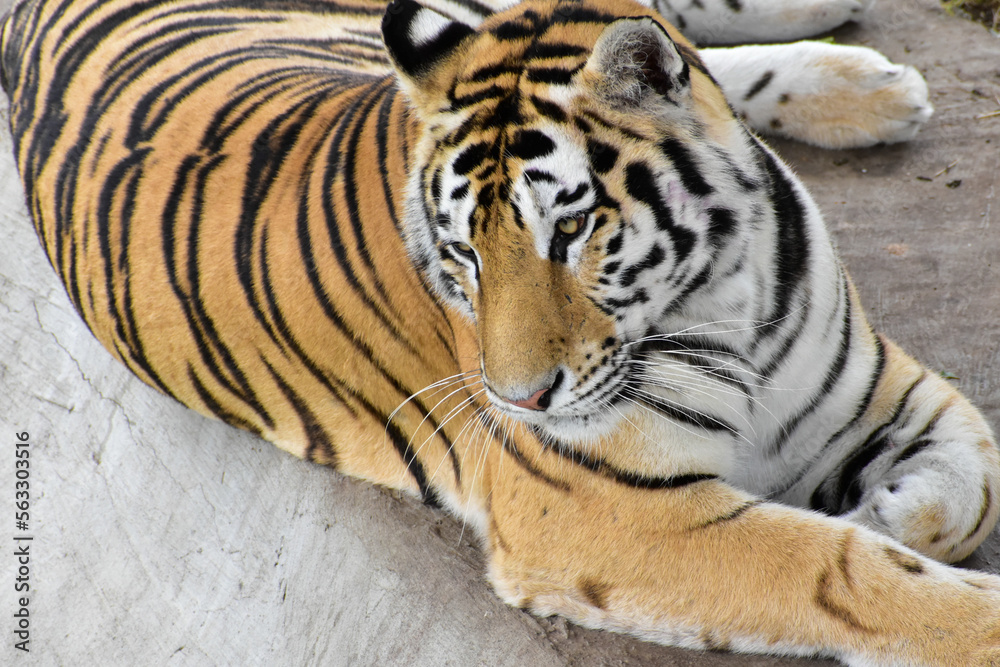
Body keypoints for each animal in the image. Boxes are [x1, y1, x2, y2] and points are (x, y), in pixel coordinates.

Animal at [2, 0, 999, 663]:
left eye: (573, 228)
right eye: (462, 254)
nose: (520, 400)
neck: (725, 288)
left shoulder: (882, 385)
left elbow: (972, 482)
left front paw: (891, 507)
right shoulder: (608, 511)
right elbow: (842, 569)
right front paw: (927, 576)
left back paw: (863, 76)